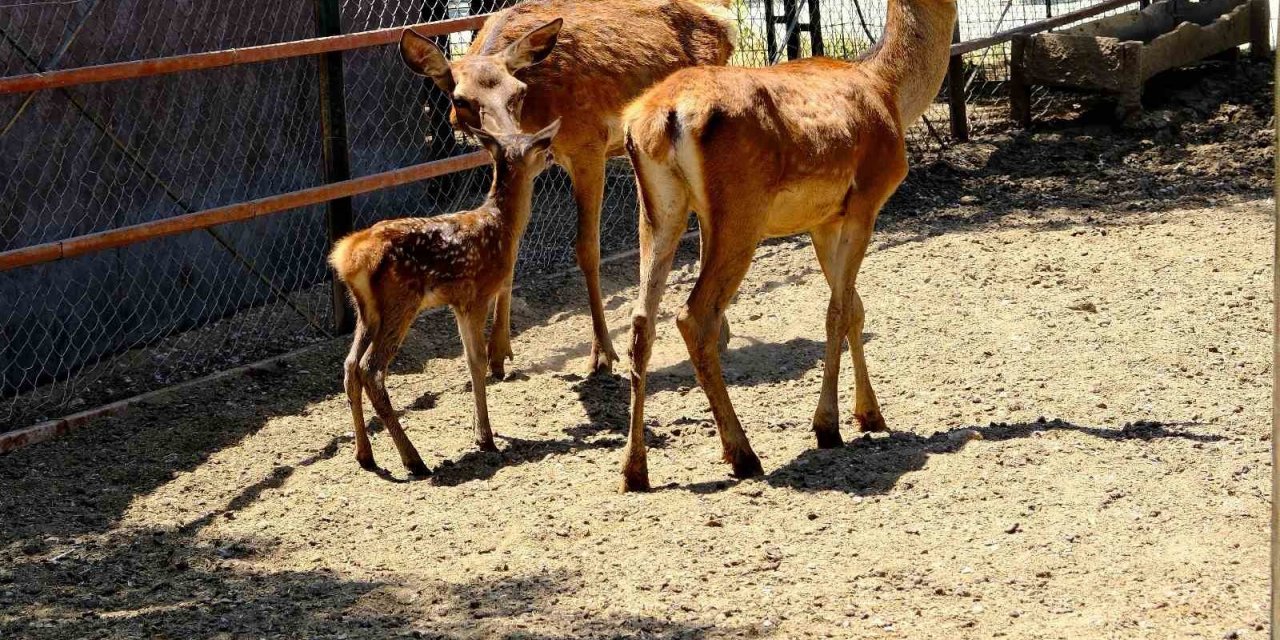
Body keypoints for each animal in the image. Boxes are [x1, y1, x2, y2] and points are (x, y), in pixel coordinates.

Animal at [330, 120, 560, 476]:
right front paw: (485, 437)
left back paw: (365, 456)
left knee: (350, 365)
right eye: (538, 144)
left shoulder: (458, 303)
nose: (551, 155)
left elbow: (469, 360)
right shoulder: (478, 294)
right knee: (370, 369)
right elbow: (478, 361)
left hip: (366, 311)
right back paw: (413, 459)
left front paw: (480, 431)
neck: (503, 227)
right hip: (401, 301)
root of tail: (349, 257)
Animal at [399, 0, 742, 373]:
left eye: (517, 93)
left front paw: (603, 353)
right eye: (460, 100)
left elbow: (588, 249)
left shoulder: (588, 144)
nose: (510, 141)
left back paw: (720, 332)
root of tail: (725, 21)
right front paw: (498, 352)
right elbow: (512, 238)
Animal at [614, 0, 957, 488]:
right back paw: (743, 455)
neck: (889, 93)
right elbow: (837, 311)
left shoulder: (823, 220)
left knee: (642, 321)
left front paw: (870, 415)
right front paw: (828, 426)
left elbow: (855, 307)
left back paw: (635, 470)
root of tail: (661, 116)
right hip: (741, 212)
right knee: (695, 315)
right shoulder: (866, 199)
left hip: (660, 210)